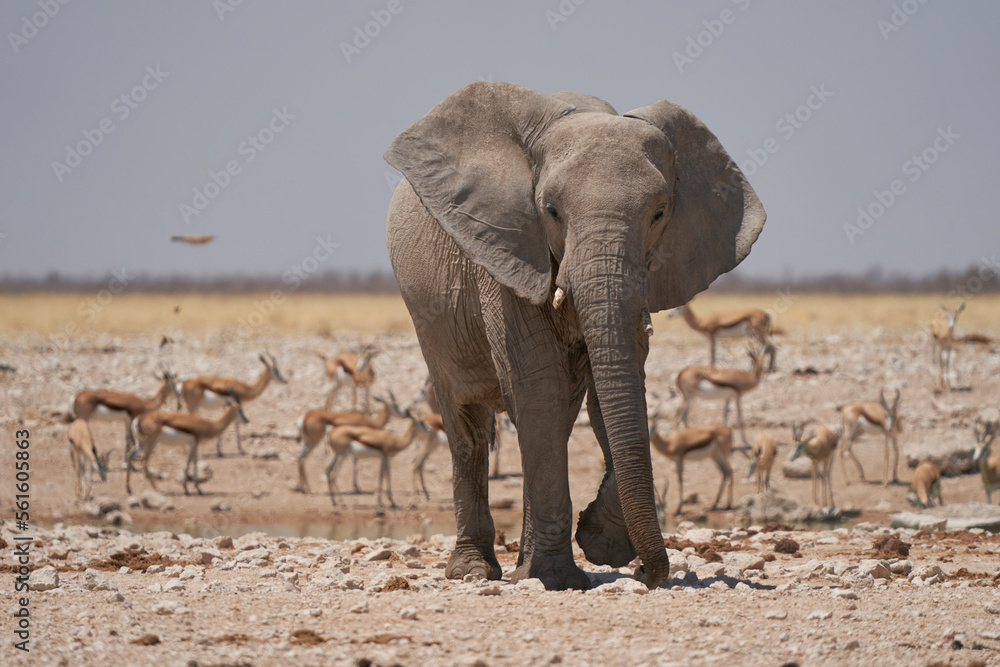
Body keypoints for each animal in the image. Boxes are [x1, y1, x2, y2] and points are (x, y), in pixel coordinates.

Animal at [384, 82, 765, 590]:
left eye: (659, 213)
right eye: (550, 211)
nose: (648, 572)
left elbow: (613, 389)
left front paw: (601, 546)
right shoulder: (506, 249)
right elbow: (537, 383)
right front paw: (559, 579)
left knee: (553, 421)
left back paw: (522, 563)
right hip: (428, 316)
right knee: (468, 424)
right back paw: (474, 571)